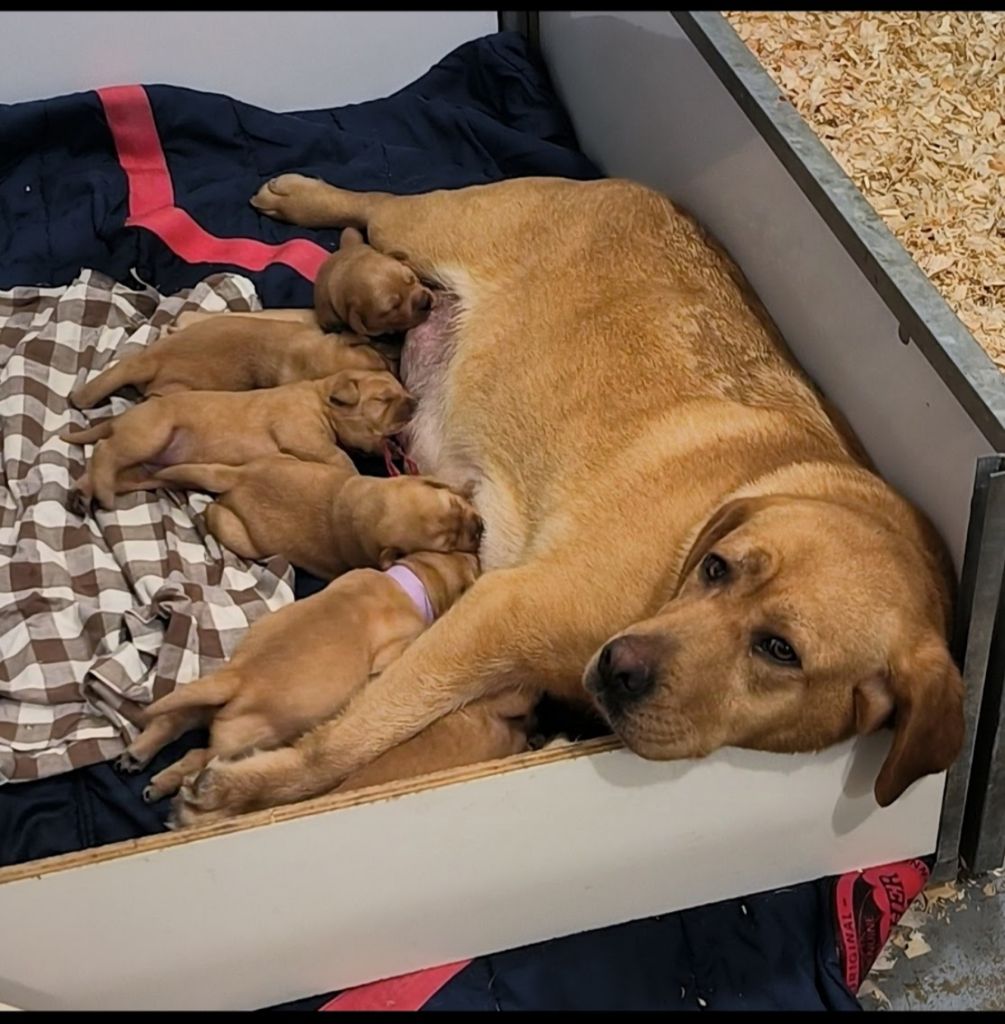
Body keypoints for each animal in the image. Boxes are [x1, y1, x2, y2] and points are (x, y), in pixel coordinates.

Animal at [59, 370, 411, 509]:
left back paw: (84, 495)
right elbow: (340, 456)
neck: (321, 397)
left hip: (141, 472)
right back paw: (102, 493)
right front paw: (352, 472)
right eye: (383, 400)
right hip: (150, 434)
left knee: (105, 468)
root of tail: (118, 420)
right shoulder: (302, 433)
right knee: (105, 450)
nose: (414, 402)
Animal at [116, 552, 532, 815]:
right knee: (198, 755)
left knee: (174, 721)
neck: (409, 581)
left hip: (206, 694)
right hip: (247, 740)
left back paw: (139, 755)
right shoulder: (399, 646)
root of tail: (238, 678)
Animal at [155, 452, 481, 581]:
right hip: (237, 533)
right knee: (213, 512)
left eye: (455, 505)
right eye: (446, 545)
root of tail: (238, 477)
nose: (479, 529)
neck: (363, 505)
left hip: (286, 457)